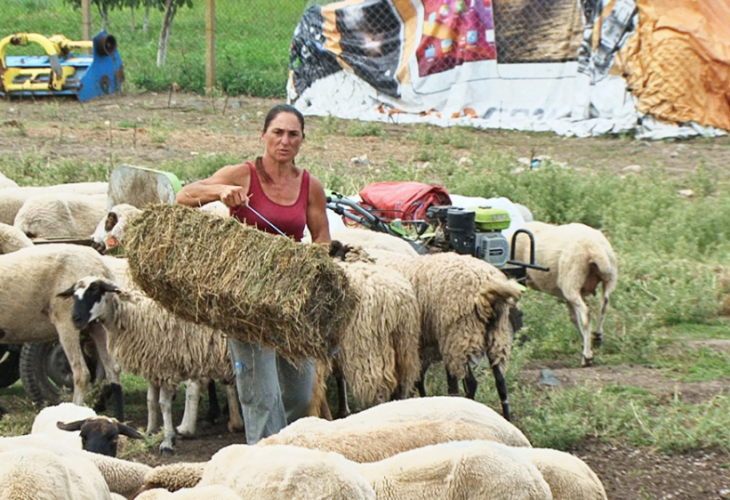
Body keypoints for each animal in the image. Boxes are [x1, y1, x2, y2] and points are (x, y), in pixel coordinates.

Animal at [0, 244, 122, 416]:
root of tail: (101, 264)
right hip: (96, 324)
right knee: (113, 370)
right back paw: (119, 417)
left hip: (68, 319)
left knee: (82, 373)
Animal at [510, 221, 616, 366]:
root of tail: (593, 248)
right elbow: (574, 318)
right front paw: (584, 341)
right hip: (608, 279)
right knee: (604, 305)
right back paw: (597, 337)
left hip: (571, 281)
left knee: (586, 314)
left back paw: (587, 356)